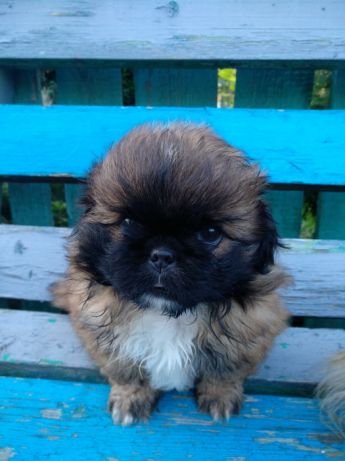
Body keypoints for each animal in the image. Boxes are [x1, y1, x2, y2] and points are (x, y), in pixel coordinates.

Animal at [52, 122, 288, 424]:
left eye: (210, 233)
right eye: (127, 223)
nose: (162, 256)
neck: (165, 313)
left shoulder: (250, 330)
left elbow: (226, 370)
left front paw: (220, 396)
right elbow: (126, 371)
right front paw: (131, 398)